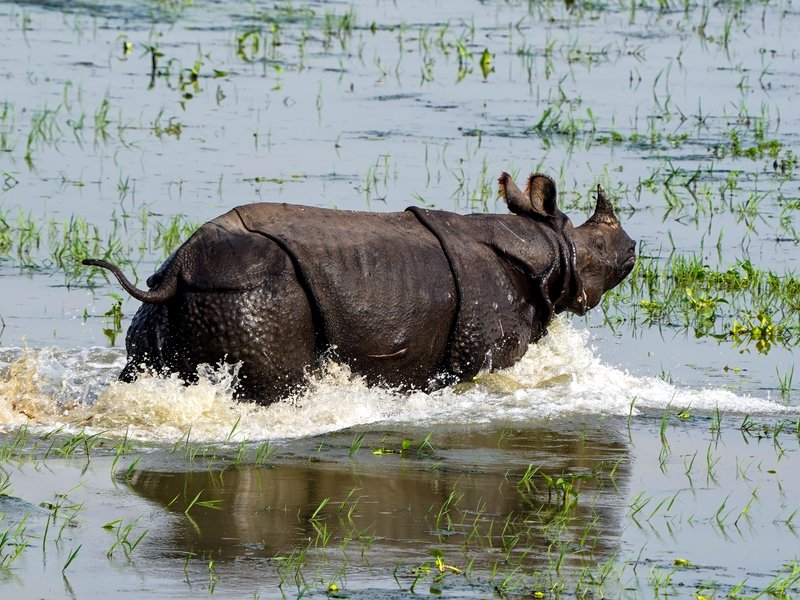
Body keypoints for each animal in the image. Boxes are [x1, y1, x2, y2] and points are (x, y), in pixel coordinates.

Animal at [83, 172, 635, 404]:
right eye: (601, 247)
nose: (633, 248)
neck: (550, 249)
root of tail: (181, 268)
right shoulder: (483, 349)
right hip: (252, 294)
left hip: (177, 295)